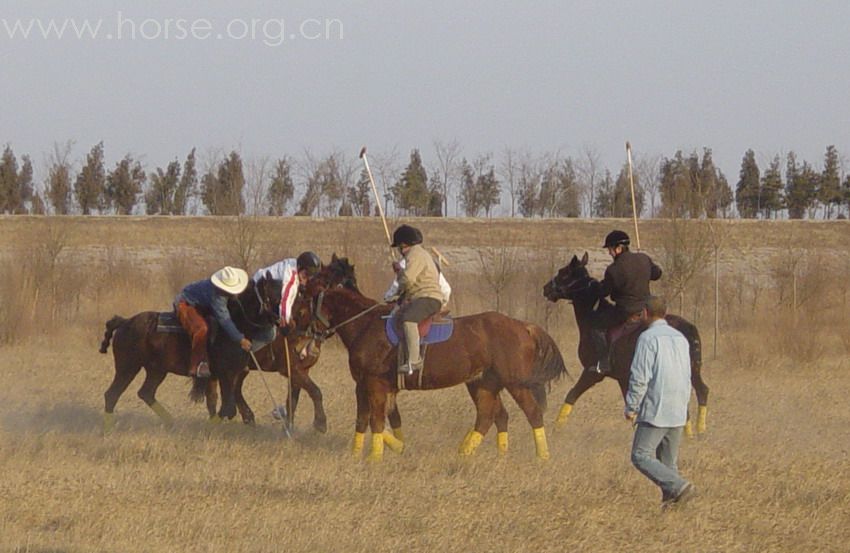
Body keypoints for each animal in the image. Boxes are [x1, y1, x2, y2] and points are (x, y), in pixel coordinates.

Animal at [96, 276, 282, 432]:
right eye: (274, 297)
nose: (281, 320)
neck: (236, 325)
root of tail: (125, 322)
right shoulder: (226, 375)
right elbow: (228, 408)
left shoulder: (233, 375)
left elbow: (225, 406)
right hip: (127, 368)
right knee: (112, 395)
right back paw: (108, 430)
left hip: (156, 370)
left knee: (146, 393)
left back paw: (171, 423)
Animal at [294, 278, 568, 460]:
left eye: (301, 310)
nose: (297, 347)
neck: (365, 325)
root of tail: (524, 326)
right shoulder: (366, 386)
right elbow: (367, 420)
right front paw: (363, 453)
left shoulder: (374, 385)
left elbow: (376, 420)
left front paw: (375, 457)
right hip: (482, 383)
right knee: (490, 416)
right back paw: (469, 454)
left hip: (515, 384)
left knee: (532, 413)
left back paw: (542, 457)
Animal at [540, 251, 704, 436]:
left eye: (564, 272)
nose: (546, 288)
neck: (592, 315)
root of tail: (687, 328)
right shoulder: (623, 377)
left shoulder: (592, 373)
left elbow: (571, 395)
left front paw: (556, 429)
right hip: (691, 372)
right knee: (701, 393)